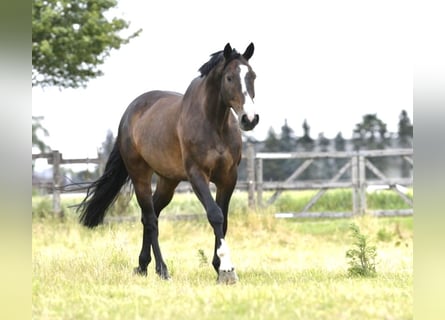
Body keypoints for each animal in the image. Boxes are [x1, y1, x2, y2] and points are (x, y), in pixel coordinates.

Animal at [76, 43, 256, 284]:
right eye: (229, 78)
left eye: (252, 76)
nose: (250, 119)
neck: (214, 124)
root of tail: (129, 113)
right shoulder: (197, 175)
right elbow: (215, 215)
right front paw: (226, 270)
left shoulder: (228, 177)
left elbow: (224, 219)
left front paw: (219, 266)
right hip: (140, 175)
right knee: (151, 218)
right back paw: (162, 269)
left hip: (168, 181)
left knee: (150, 213)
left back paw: (143, 265)